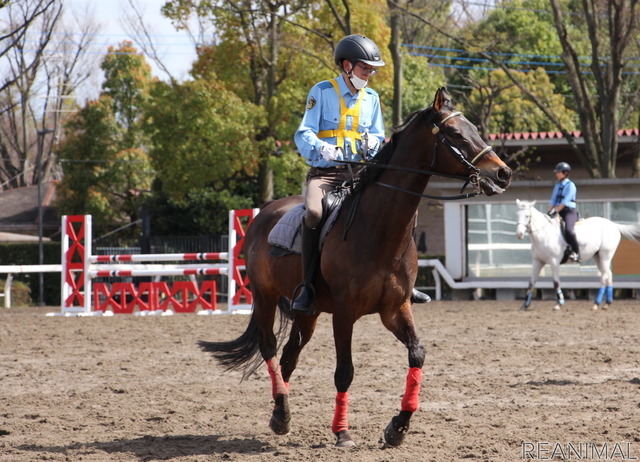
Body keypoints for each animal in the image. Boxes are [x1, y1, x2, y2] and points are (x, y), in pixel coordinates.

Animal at [198, 87, 512, 448]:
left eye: (473, 128)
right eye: (456, 134)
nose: (503, 173)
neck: (379, 230)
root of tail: (265, 213)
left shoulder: (395, 309)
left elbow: (417, 354)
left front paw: (398, 427)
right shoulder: (345, 313)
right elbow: (344, 371)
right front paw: (342, 431)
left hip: (308, 312)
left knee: (290, 353)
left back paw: (281, 413)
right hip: (265, 296)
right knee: (270, 347)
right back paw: (281, 410)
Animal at [512, 199, 640, 310]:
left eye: (527, 216)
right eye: (516, 215)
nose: (519, 234)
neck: (544, 234)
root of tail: (613, 224)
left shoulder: (554, 262)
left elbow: (556, 282)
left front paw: (559, 303)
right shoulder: (538, 261)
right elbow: (531, 283)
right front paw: (525, 305)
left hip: (605, 256)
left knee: (604, 276)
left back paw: (596, 303)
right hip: (598, 256)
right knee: (608, 274)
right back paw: (607, 303)